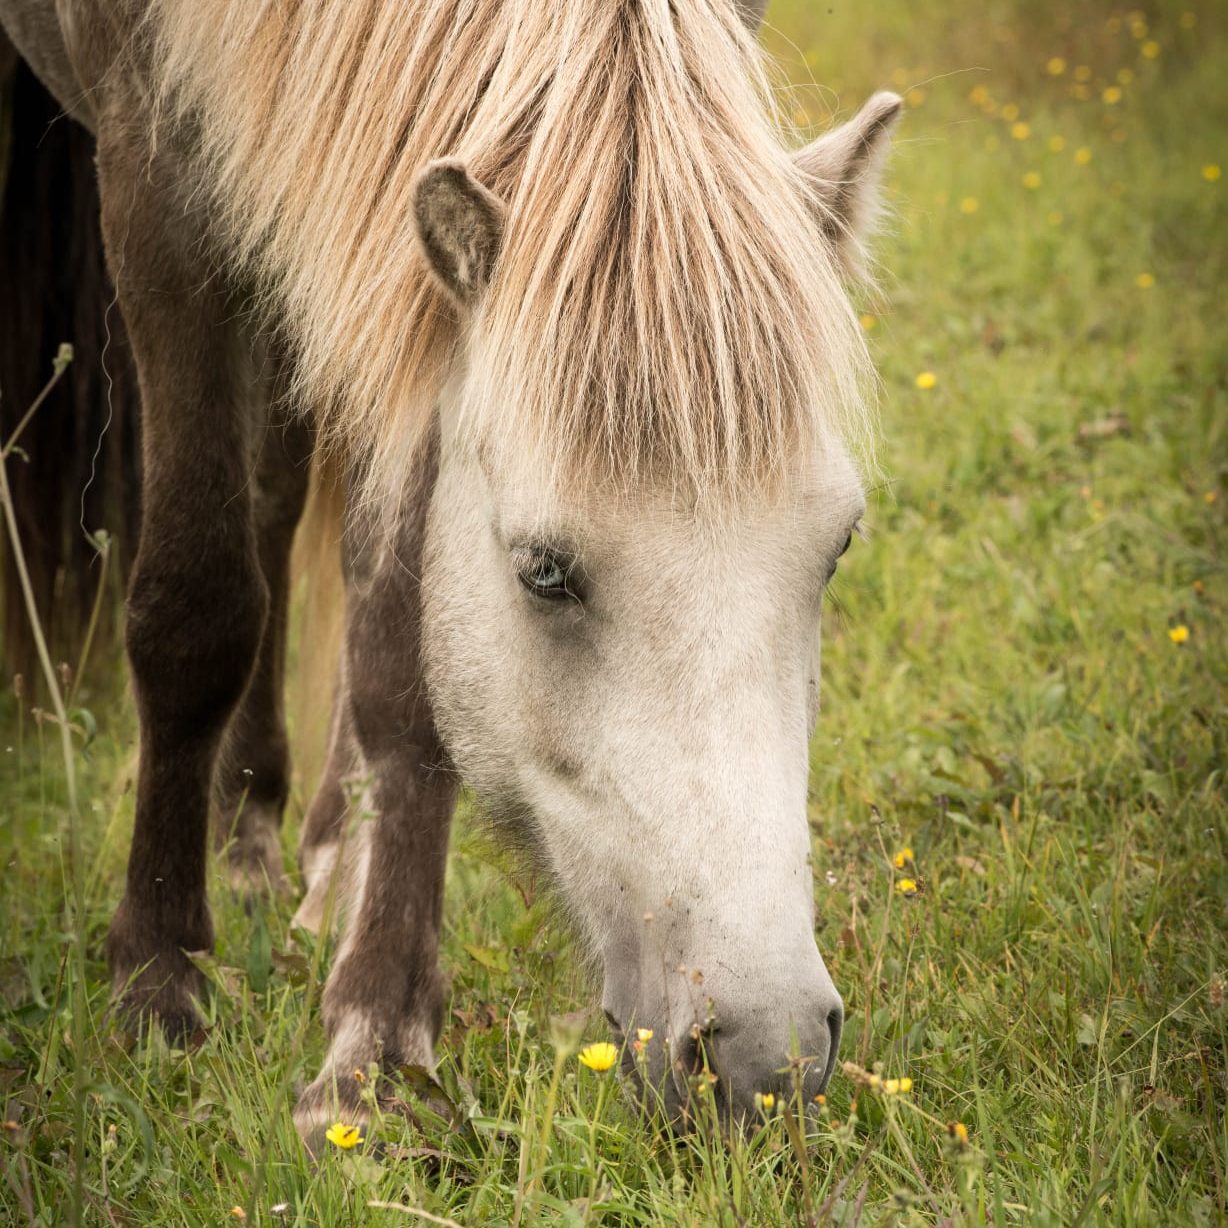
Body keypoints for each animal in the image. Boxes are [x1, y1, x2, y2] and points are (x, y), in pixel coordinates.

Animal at [0, 0, 901, 1146]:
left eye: (837, 549)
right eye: (545, 573)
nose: (763, 1058)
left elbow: (400, 655)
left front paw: (371, 1048)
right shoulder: (155, 185)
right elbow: (196, 606)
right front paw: (158, 979)